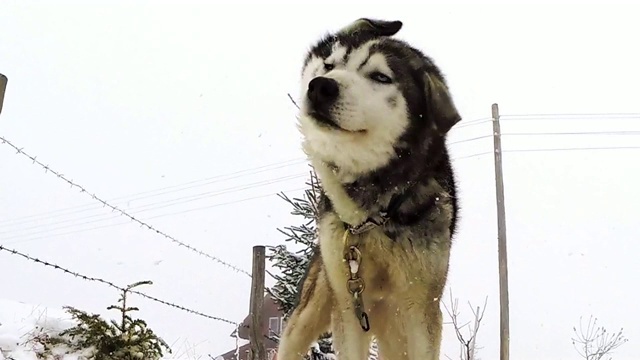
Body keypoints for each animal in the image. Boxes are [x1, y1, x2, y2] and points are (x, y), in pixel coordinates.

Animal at [278, 19, 462, 360]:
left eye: (380, 77)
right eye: (329, 65)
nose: (321, 86)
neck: (371, 216)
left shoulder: (421, 306)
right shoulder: (347, 302)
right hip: (311, 308)